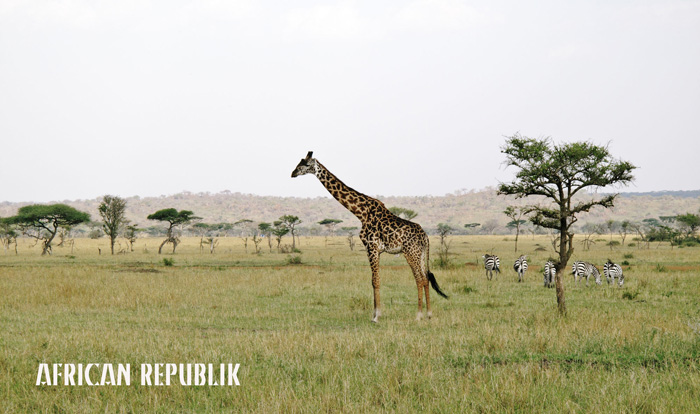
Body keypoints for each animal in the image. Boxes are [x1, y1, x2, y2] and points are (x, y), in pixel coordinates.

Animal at [292, 152, 448, 324]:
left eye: (305, 164)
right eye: (299, 162)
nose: (293, 173)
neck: (361, 212)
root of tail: (425, 237)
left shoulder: (371, 247)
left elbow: (375, 280)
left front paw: (376, 316)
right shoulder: (376, 250)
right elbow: (374, 280)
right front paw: (374, 313)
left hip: (410, 253)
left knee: (419, 279)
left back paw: (418, 315)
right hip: (420, 254)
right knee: (426, 278)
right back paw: (429, 314)